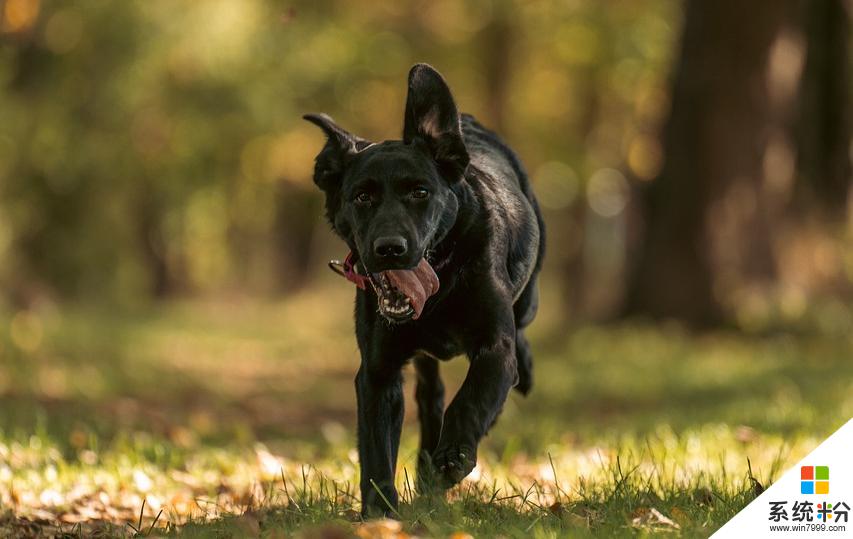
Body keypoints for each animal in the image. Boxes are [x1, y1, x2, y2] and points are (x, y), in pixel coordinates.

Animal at [306, 64, 544, 520]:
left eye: (420, 192)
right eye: (361, 197)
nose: (389, 249)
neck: (442, 283)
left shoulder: (494, 344)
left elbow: (473, 397)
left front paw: (454, 457)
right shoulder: (377, 371)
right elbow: (377, 448)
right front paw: (380, 514)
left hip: (528, 299)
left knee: (517, 339)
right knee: (431, 393)